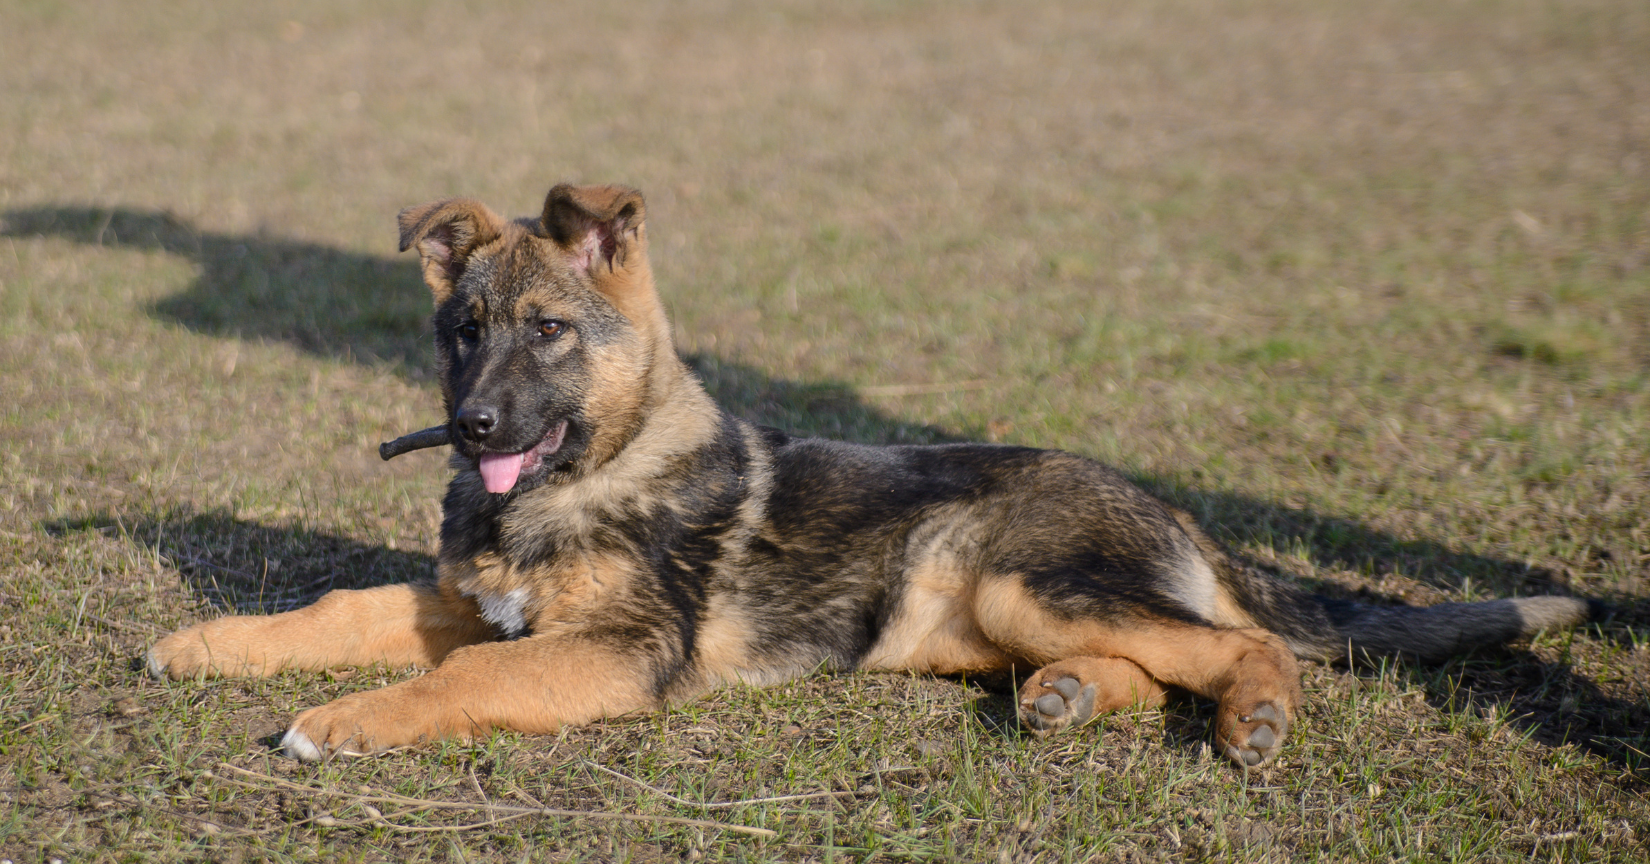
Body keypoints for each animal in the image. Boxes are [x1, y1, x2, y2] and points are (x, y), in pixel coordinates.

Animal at [148, 180, 1590, 761]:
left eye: (549, 331)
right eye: (461, 331)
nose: (478, 431)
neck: (581, 480)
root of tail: (1169, 501)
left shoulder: (613, 650)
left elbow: (463, 679)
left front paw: (346, 720)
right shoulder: (468, 597)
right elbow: (339, 607)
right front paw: (209, 644)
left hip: (1021, 576)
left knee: (1253, 645)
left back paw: (1253, 720)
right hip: (977, 619)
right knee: (1151, 656)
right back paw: (1070, 697)